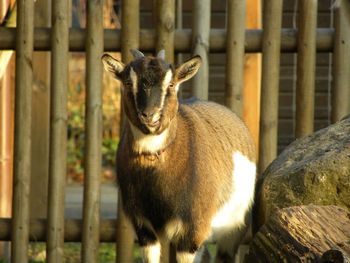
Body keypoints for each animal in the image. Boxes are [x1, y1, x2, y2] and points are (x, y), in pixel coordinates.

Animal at [102, 50, 256, 263]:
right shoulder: (144, 228)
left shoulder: (192, 232)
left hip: (234, 228)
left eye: (171, 84)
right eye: (127, 83)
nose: (149, 115)